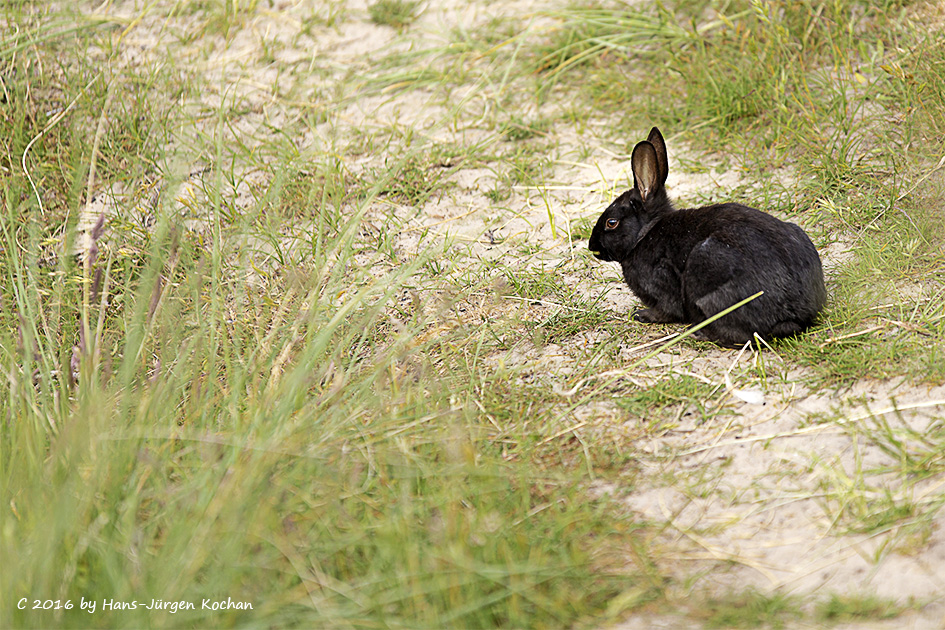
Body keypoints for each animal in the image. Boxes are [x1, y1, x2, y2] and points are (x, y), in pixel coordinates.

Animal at [588, 126, 824, 348]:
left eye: (611, 223)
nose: (592, 246)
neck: (645, 233)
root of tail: (793, 315)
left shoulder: (662, 282)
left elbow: (667, 310)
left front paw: (641, 315)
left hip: (708, 270)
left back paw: (699, 333)